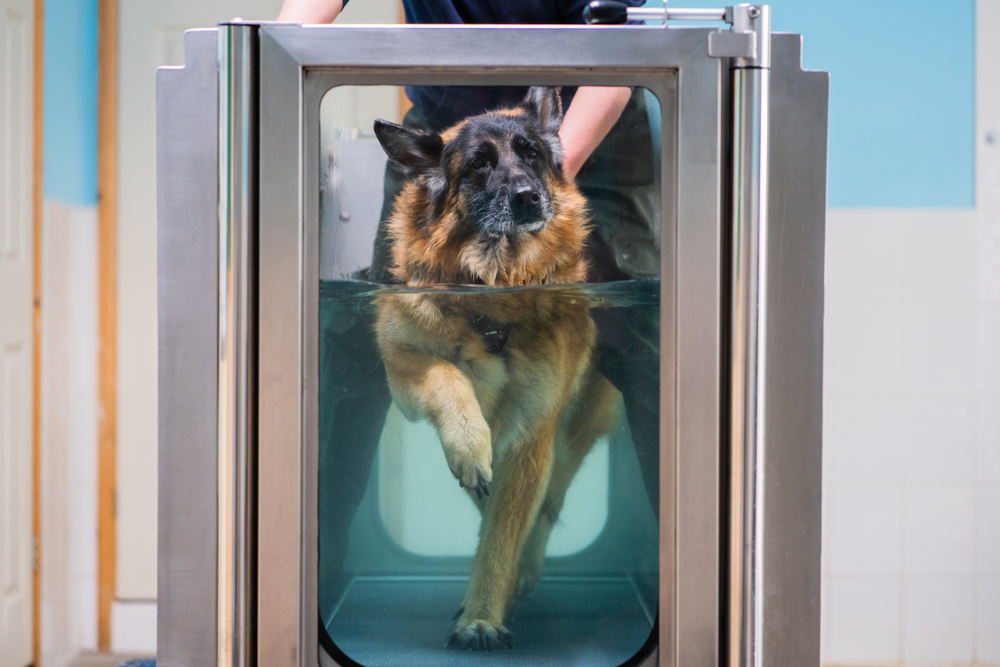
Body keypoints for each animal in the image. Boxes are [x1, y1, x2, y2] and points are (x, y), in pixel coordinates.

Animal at [376, 86, 620, 648]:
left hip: (572, 434)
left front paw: (482, 616)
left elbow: (504, 536)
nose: (528, 197)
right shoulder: (403, 364)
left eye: (530, 153)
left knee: (549, 503)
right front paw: (467, 444)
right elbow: (447, 376)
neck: (495, 286)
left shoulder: (532, 434)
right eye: (478, 165)